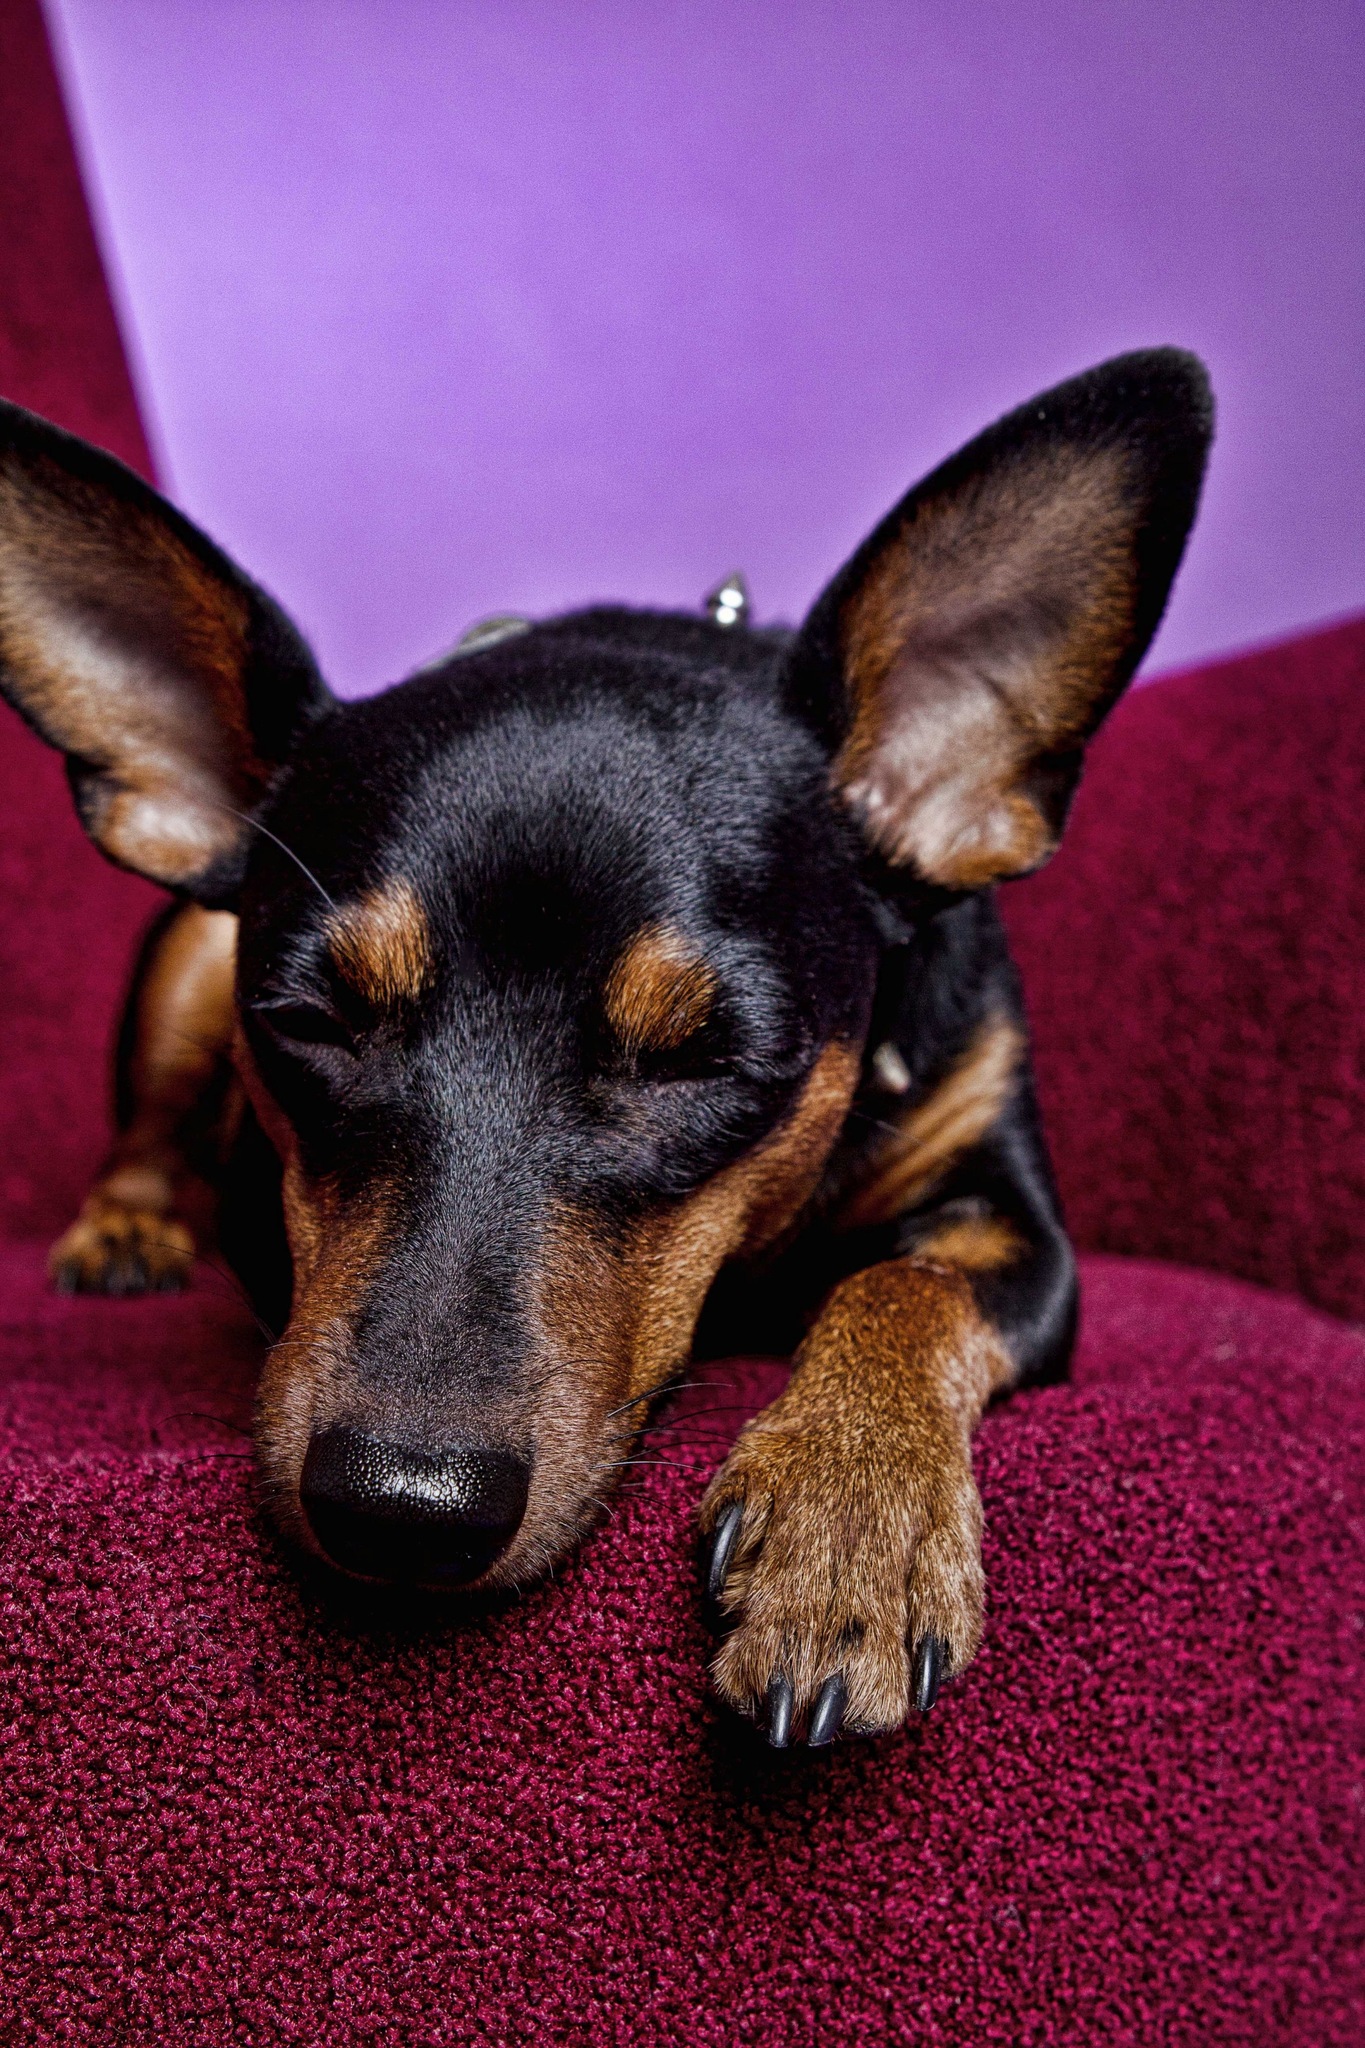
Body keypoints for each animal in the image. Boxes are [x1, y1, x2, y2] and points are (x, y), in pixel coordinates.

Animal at [0, 349, 1211, 1747]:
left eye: (708, 1058)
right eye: (306, 1022)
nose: (400, 1505)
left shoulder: (1019, 1219)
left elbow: (904, 1282)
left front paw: (849, 1526)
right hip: (182, 959)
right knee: (147, 1122)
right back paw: (126, 1227)